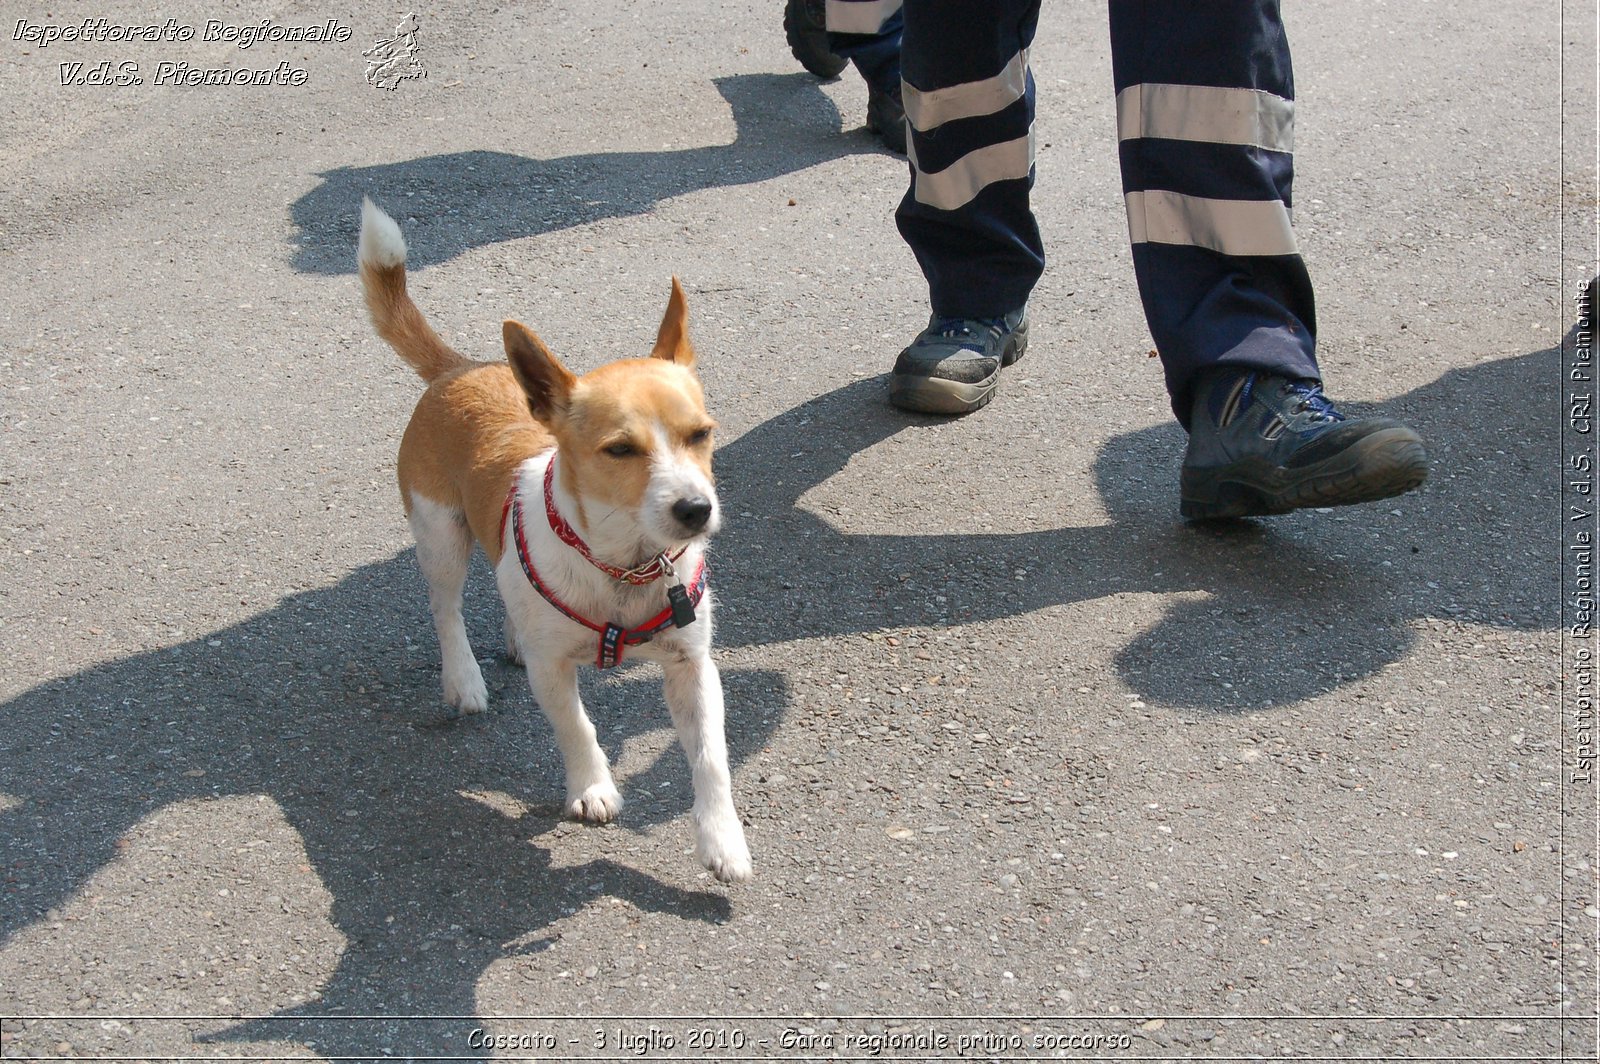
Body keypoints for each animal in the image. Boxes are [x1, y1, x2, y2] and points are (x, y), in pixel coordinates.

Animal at [363, 196, 755, 876]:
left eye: (702, 433)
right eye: (620, 450)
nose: (695, 510)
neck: (625, 565)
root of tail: (460, 369)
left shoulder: (693, 669)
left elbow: (711, 759)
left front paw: (721, 838)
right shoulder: (554, 672)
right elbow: (577, 728)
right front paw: (592, 787)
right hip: (440, 536)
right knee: (446, 609)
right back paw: (463, 678)